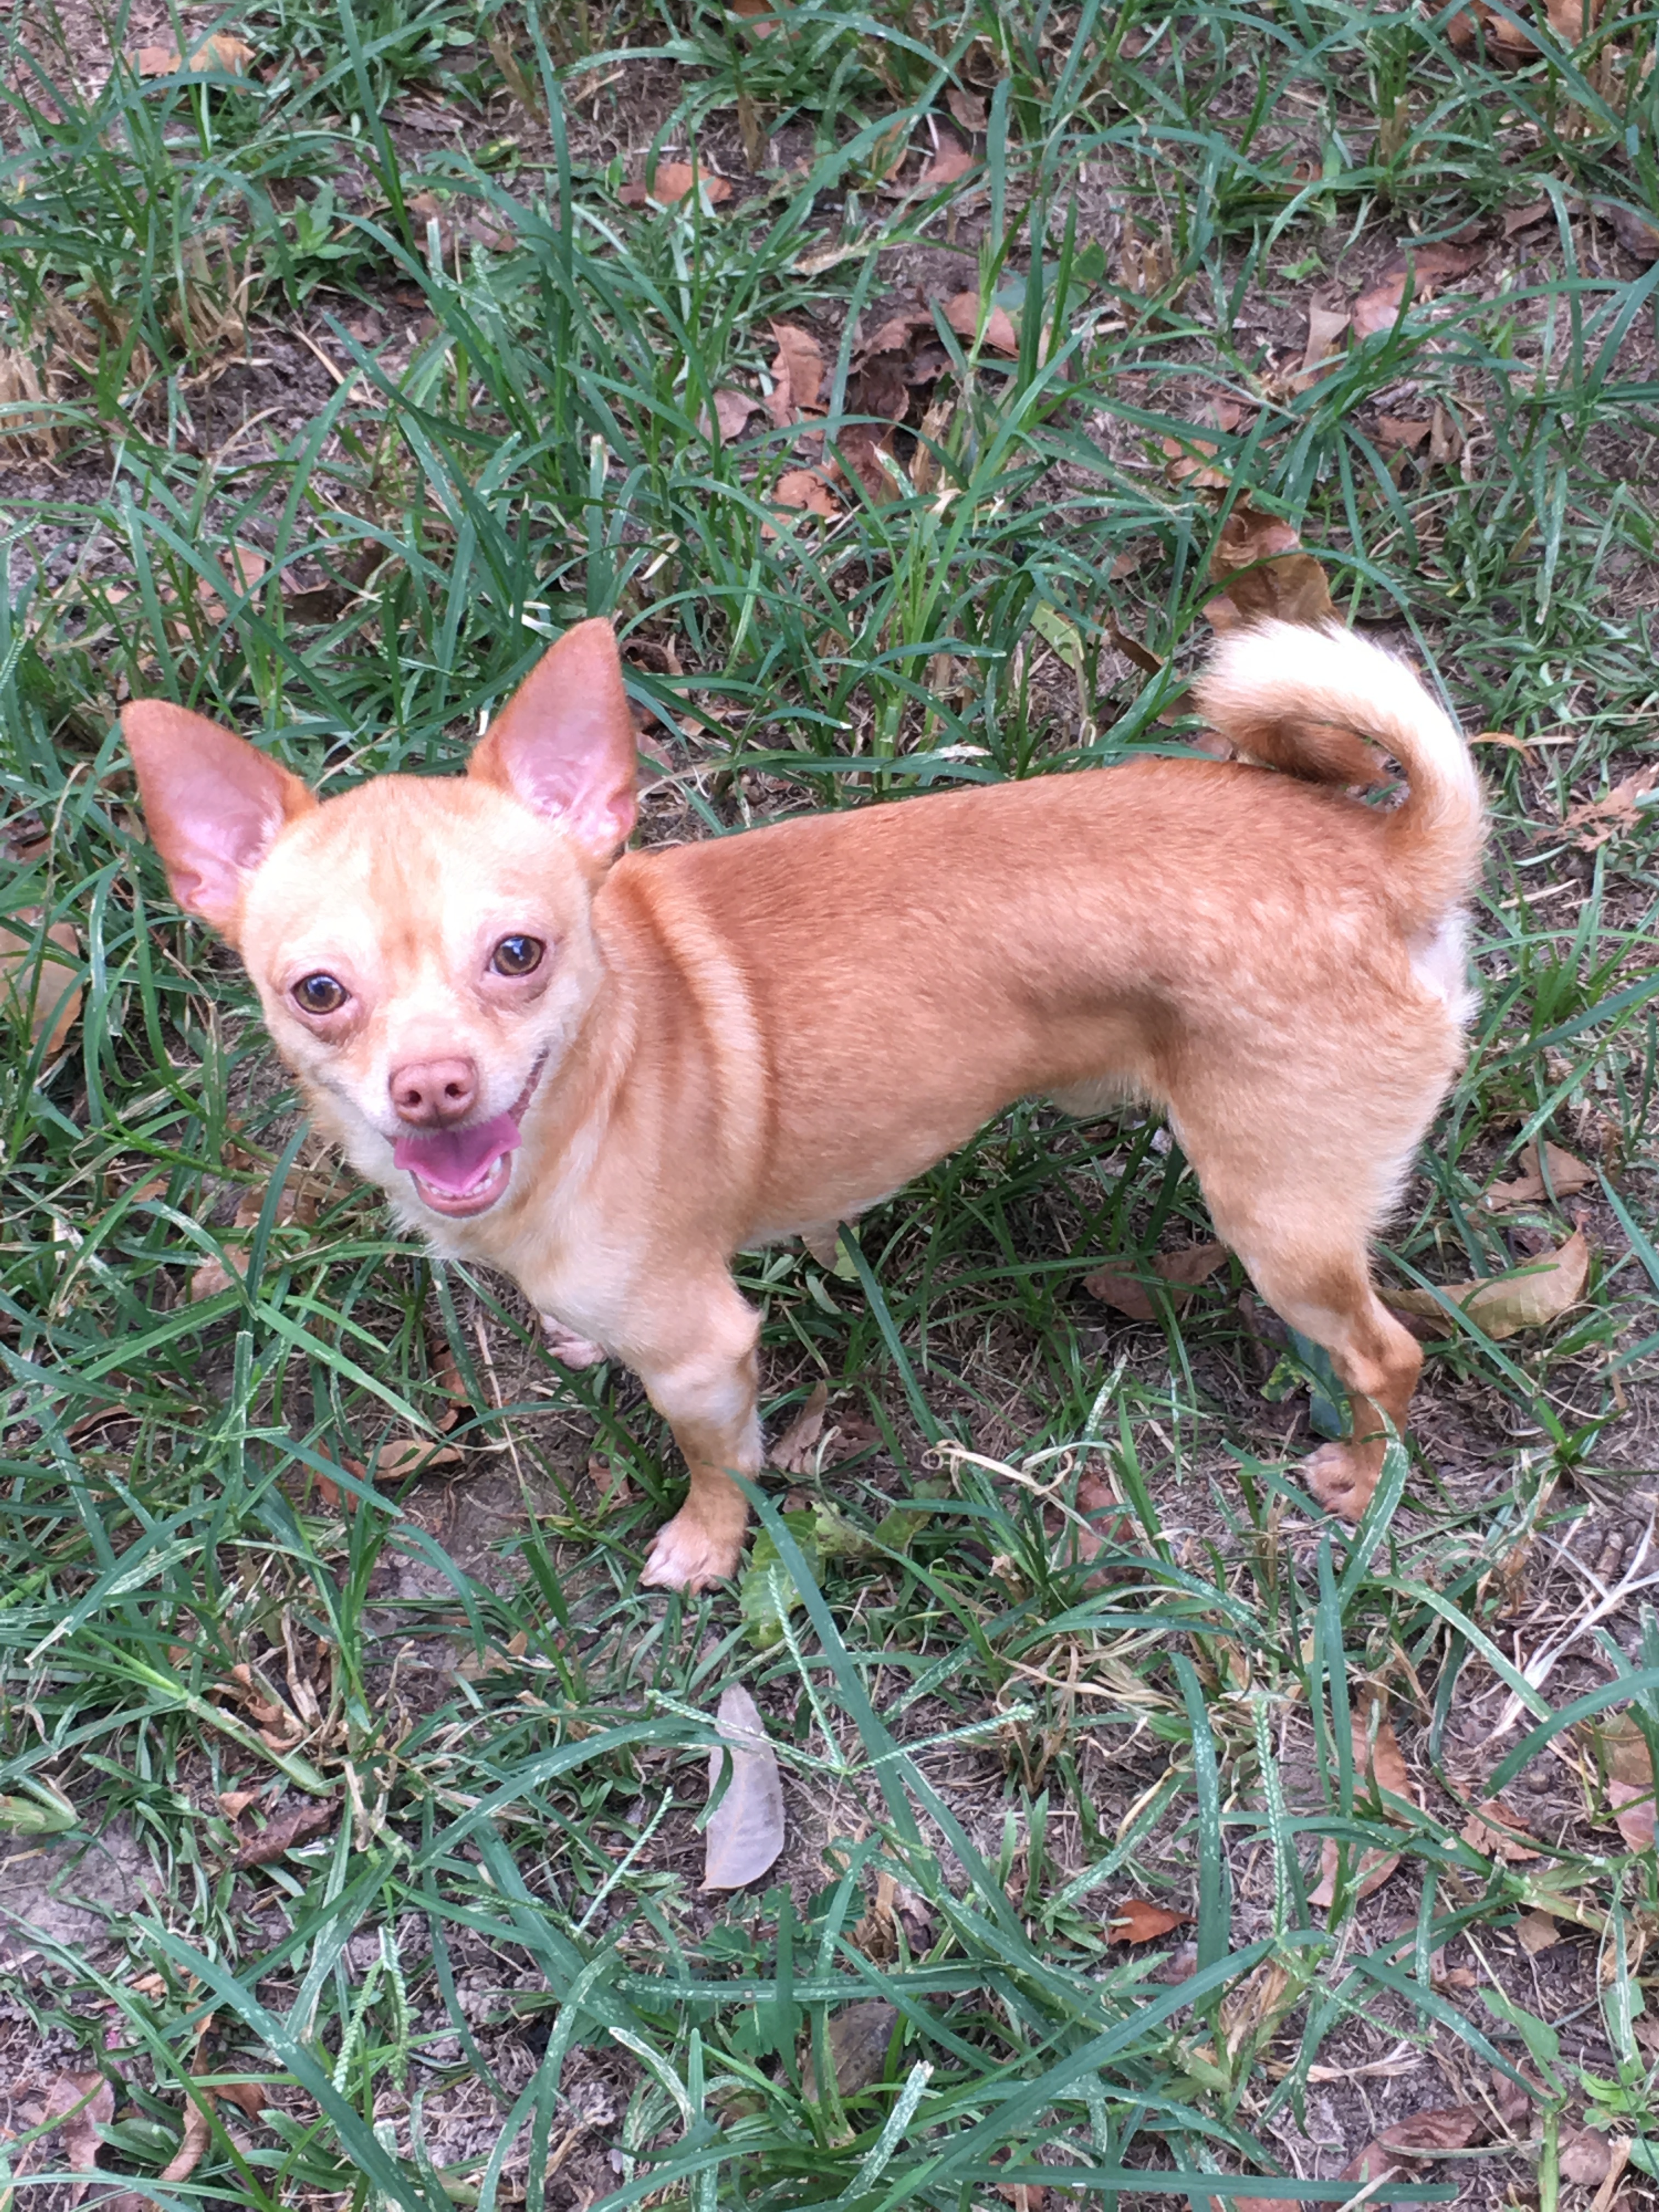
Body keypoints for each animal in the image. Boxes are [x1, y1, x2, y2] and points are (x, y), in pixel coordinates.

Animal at [123, 619, 1486, 1593]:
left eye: (519, 956)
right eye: (319, 993)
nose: (433, 1084)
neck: (605, 1063)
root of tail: (1381, 860)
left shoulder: (702, 1353)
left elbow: (717, 1461)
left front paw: (708, 1547)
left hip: (1279, 1223)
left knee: (1390, 1351)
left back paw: (1365, 1479)